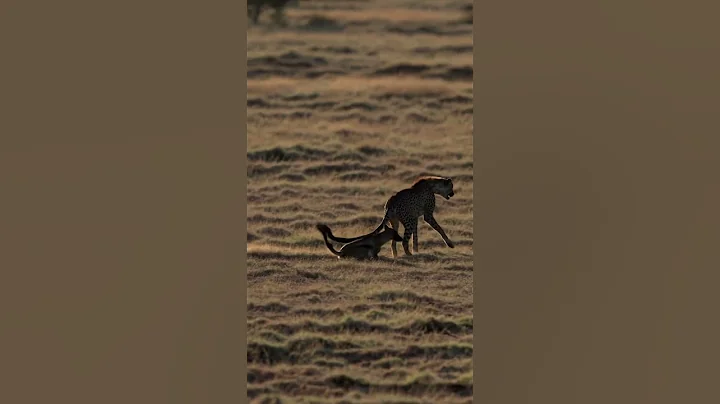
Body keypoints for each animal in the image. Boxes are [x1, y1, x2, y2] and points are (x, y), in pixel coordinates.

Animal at [324, 176, 456, 258]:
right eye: (451, 187)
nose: (453, 193)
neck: (432, 185)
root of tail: (391, 201)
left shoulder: (415, 218)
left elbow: (416, 237)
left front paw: (417, 251)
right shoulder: (426, 216)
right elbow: (439, 229)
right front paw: (450, 244)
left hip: (395, 221)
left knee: (393, 240)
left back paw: (397, 255)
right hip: (407, 222)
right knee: (404, 241)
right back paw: (408, 255)